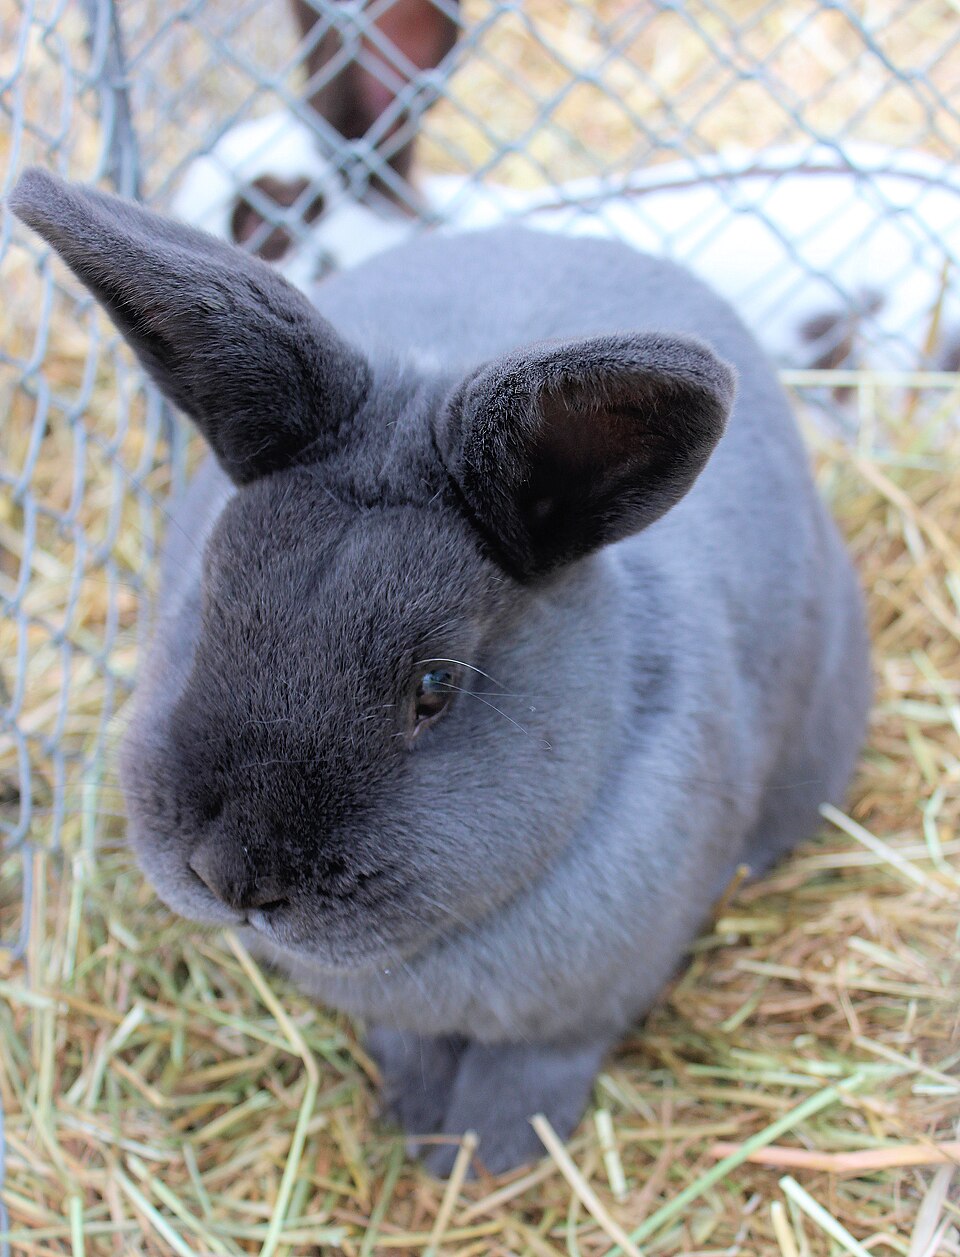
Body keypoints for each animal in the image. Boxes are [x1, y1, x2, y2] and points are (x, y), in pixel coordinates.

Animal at [10, 166, 872, 1177]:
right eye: (212, 597)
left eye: (435, 686)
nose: (231, 877)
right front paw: (423, 1120)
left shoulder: (588, 1007)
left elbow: (536, 1065)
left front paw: (487, 1153)